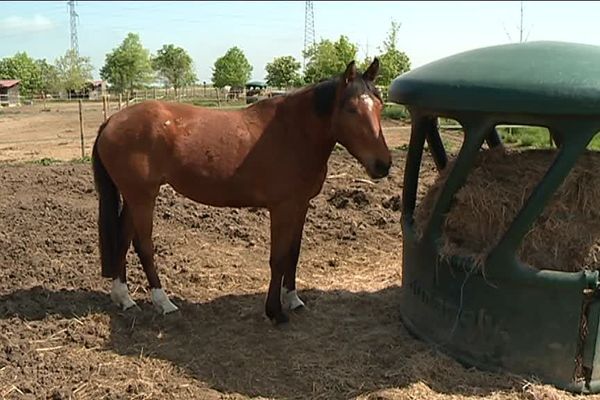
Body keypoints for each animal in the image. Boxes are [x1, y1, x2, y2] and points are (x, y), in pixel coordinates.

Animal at [91, 57, 392, 324]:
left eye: (379, 104)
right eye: (351, 109)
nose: (383, 164)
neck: (293, 132)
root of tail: (112, 121)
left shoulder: (301, 204)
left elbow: (294, 253)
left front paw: (293, 299)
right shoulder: (281, 208)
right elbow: (278, 258)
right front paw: (275, 311)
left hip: (134, 198)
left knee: (123, 239)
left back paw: (124, 299)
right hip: (143, 198)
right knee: (144, 246)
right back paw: (163, 302)